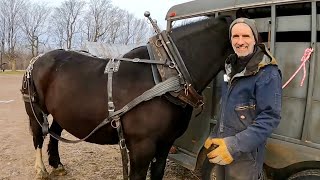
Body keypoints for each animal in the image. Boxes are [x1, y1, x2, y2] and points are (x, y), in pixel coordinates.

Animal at [21, 14, 232, 179]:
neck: (168, 76)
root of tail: (38, 59)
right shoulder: (141, 147)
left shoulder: (164, 145)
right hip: (35, 110)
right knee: (39, 135)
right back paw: (41, 170)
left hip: (63, 110)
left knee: (55, 132)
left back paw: (57, 164)